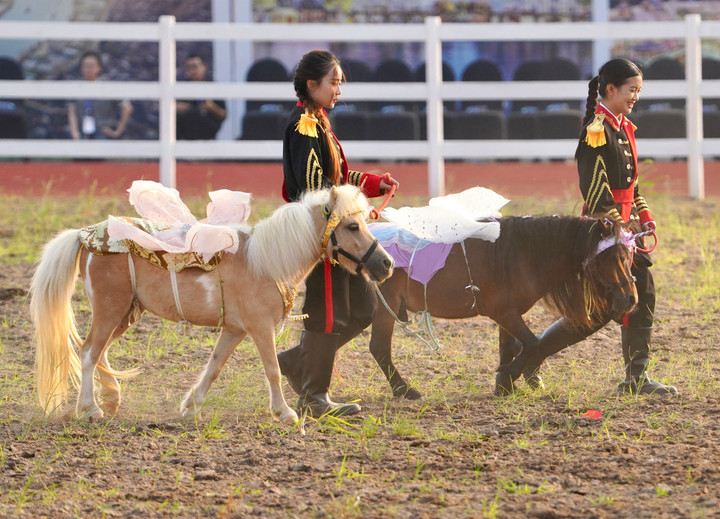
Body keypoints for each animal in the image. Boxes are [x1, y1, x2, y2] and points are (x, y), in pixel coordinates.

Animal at [30, 185, 394, 427]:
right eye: (352, 226)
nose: (386, 264)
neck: (264, 261)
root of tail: (87, 235)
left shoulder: (234, 330)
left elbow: (215, 366)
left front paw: (191, 406)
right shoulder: (260, 327)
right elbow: (272, 370)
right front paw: (285, 413)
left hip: (125, 314)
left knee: (97, 351)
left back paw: (112, 398)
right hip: (110, 310)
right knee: (89, 351)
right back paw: (89, 409)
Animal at [368, 215, 638, 398]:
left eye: (628, 256)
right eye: (610, 258)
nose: (631, 299)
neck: (522, 254)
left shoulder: (508, 315)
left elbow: (509, 347)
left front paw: (505, 385)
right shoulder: (503, 313)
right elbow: (533, 343)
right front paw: (508, 375)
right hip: (385, 309)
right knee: (379, 349)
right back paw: (404, 390)